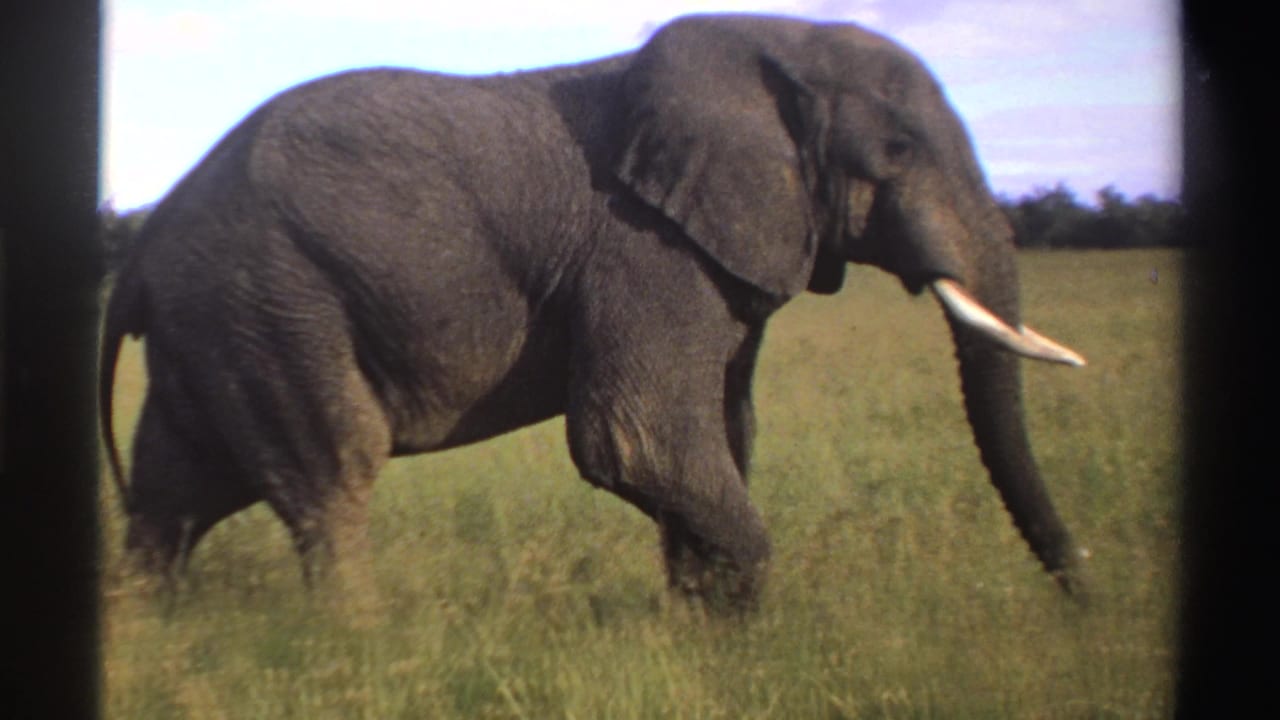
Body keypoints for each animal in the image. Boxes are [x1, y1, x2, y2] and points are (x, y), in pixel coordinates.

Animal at [100, 13, 1089, 611]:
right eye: (899, 148)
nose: (1086, 597)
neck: (768, 38)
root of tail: (144, 241)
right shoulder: (642, 249)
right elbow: (639, 438)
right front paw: (747, 632)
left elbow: (722, 432)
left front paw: (701, 637)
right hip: (274, 299)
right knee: (331, 474)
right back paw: (360, 643)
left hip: (219, 320)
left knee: (175, 495)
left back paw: (153, 628)